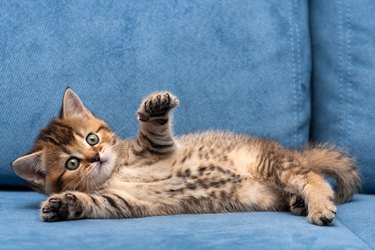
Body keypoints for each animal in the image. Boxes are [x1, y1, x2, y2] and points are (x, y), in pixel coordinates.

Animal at [11, 89, 362, 226]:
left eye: (92, 138)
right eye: (71, 163)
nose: (95, 156)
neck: (115, 171)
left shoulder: (157, 149)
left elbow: (154, 132)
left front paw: (155, 107)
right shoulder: (121, 201)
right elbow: (92, 203)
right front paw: (62, 205)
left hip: (270, 162)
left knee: (310, 177)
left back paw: (318, 205)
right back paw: (299, 202)